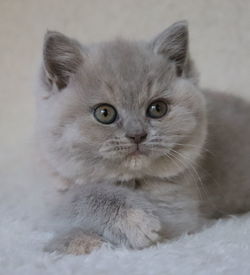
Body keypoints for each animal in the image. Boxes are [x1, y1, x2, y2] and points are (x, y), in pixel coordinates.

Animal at [34, 20, 250, 256]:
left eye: (158, 108)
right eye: (104, 113)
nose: (137, 134)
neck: (129, 181)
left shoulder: (177, 211)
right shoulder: (50, 198)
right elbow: (74, 199)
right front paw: (77, 240)